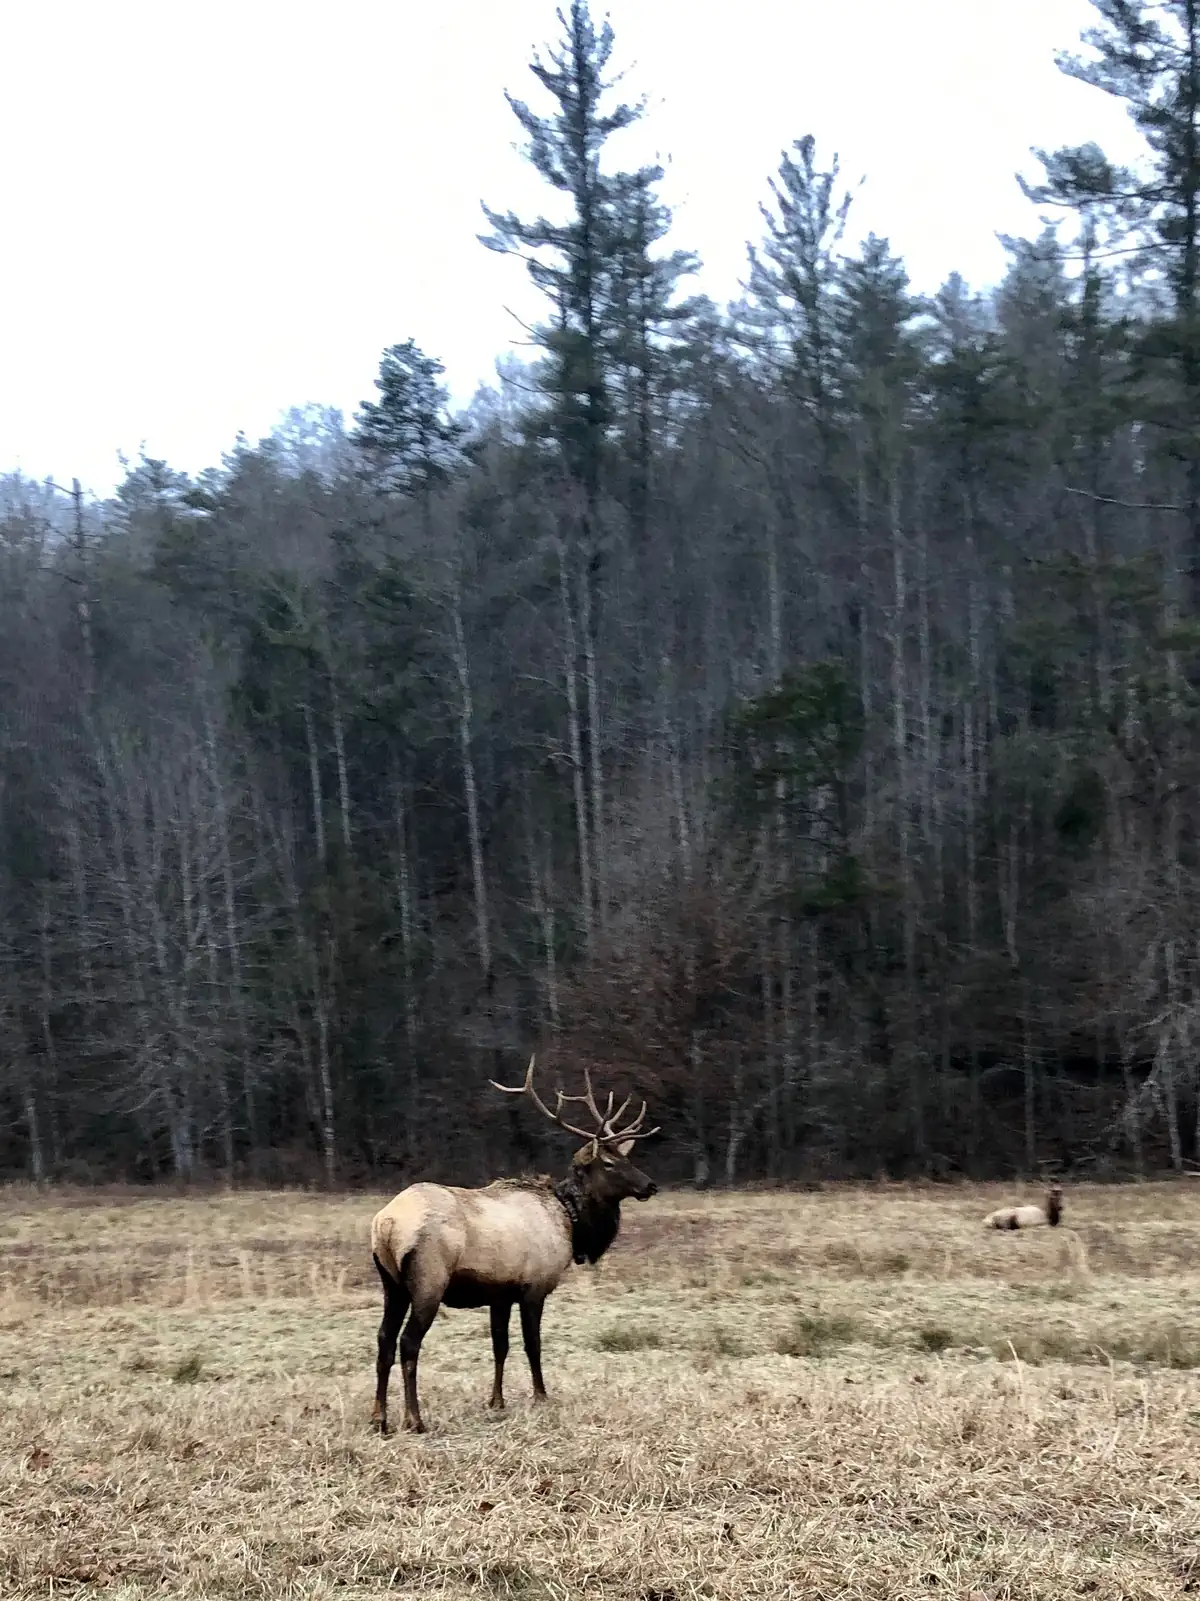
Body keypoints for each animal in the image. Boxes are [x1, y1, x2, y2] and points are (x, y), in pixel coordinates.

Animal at [369, 1056, 659, 1435]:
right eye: (609, 1163)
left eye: (626, 1158)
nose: (650, 1185)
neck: (570, 1222)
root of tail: (387, 1224)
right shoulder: (534, 1286)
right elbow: (532, 1344)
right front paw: (541, 1397)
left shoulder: (500, 1294)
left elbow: (500, 1345)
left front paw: (496, 1401)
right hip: (428, 1280)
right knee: (408, 1342)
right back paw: (414, 1419)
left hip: (391, 1283)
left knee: (384, 1339)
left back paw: (379, 1418)